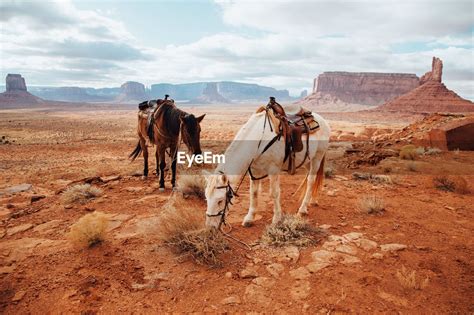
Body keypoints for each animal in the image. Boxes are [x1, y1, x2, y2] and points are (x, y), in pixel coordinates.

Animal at [204, 99, 330, 230]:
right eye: (206, 198)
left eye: (220, 200)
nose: (210, 227)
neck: (259, 138)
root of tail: (322, 120)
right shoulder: (255, 170)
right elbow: (253, 193)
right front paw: (249, 218)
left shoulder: (273, 170)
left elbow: (274, 193)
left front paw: (276, 219)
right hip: (307, 160)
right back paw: (313, 200)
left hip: (317, 158)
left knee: (311, 181)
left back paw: (303, 209)